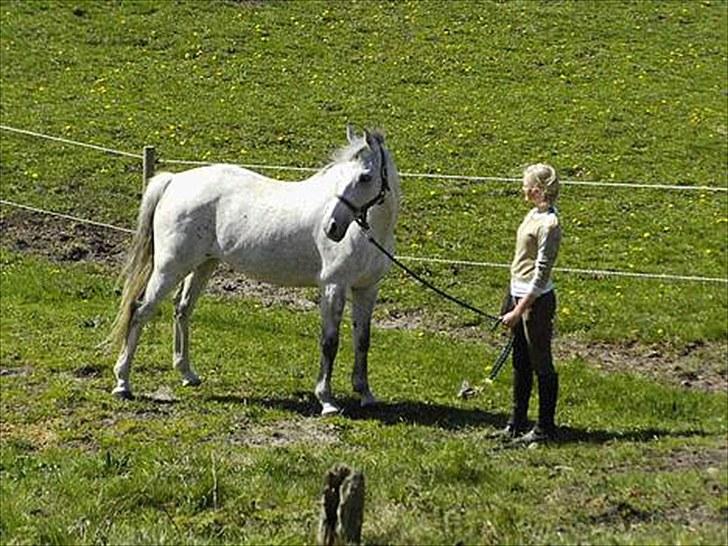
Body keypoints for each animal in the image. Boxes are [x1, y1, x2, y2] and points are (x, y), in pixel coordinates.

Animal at [111, 126, 400, 412]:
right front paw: (326, 399)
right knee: (140, 310)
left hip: (203, 264)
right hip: (170, 268)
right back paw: (123, 383)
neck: (365, 235)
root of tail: (174, 181)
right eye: (340, 177)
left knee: (182, 310)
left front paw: (365, 393)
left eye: (365, 177)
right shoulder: (333, 287)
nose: (332, 227)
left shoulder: (367, 289)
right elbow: (329, 342)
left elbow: (363, 340)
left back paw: (187, 374)